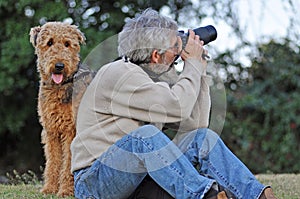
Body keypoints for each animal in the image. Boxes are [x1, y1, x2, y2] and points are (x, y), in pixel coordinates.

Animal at [30, 21, 94, 196]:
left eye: (67, 44)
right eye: (49, 42)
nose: (59, 66)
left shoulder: (71, 130)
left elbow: (68, 163)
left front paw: (65, 190)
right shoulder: (51, 130)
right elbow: (53, 161)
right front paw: (50, 188)